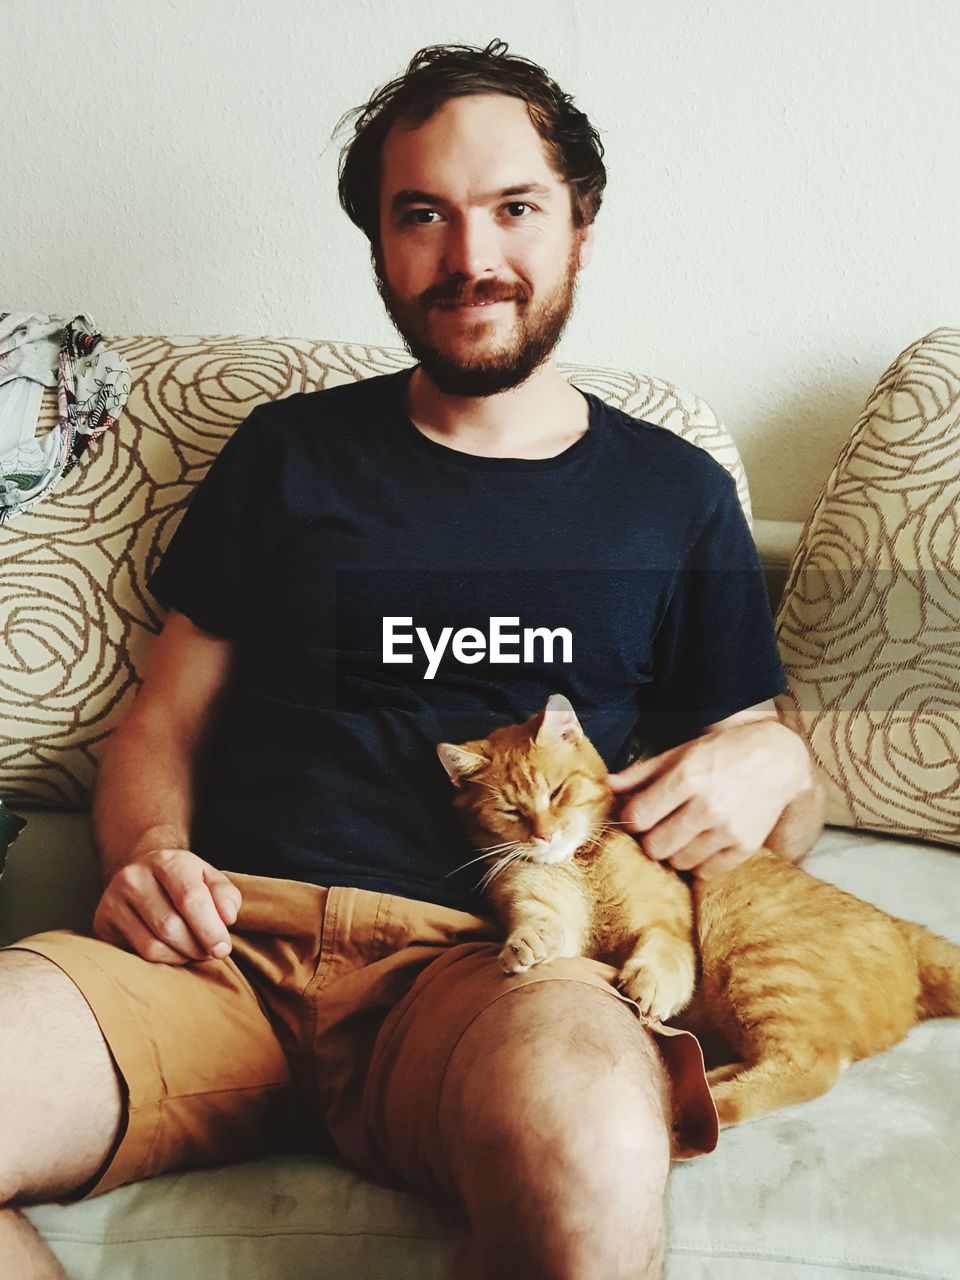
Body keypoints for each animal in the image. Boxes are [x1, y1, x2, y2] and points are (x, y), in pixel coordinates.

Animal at [437, 691, 701, 1018]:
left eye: (556, 792)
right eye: (511, 811)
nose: (546, 834)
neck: (579, 864)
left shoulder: (667, 922)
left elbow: (666, 949)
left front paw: (652, 981)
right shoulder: (539, 905)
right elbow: (542, 919)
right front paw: (531, 940)